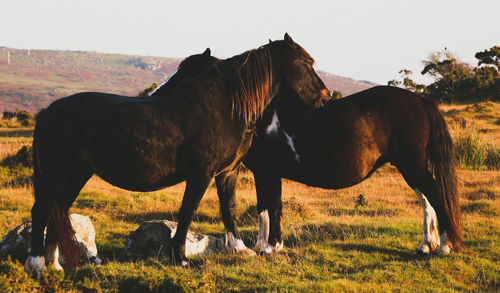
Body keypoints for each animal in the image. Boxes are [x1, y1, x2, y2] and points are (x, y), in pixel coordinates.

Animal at [27, 34, 332, 276]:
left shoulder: (227, 172)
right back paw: (38, 264)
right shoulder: (202, 173)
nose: (326, 96)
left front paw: (239, 248)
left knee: (57, 209)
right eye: (306, 63)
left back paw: (54, 265)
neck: (225, 107)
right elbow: (188, 211)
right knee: (41, 211)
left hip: (77, 173)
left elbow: (229, 208)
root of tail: (46, 112)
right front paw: (180, 258)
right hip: (58, 173)